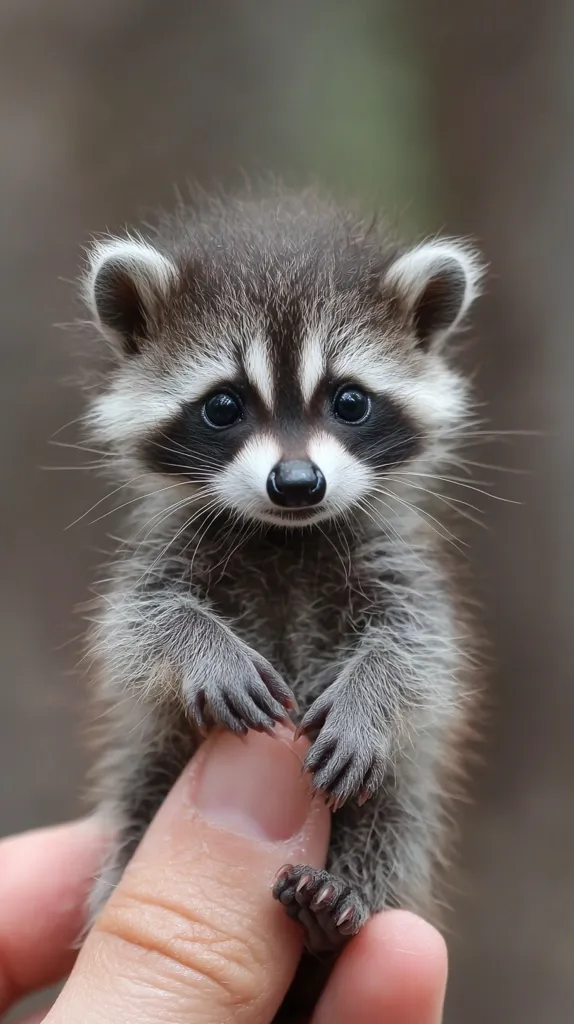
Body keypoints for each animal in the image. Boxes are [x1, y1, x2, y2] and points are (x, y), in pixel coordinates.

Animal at [80, 188, 483, 1016]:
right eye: (224, 406)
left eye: (350, 401)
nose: (297, 485)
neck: (285, 536)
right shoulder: (168, 551)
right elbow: (136, 627)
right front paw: (199, 645)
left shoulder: (391, 560)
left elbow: (422, 649)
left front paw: (371, 692)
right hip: (148, 768)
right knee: (137, 803)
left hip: (401, 793)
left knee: (396, 819)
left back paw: (340, 906)